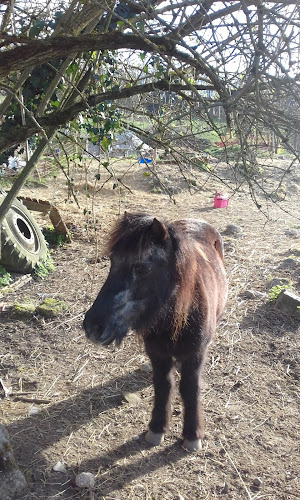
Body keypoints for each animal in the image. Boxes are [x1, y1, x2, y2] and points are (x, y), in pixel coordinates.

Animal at [83, 213, 226, 452]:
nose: (93, 327)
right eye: (112, 262)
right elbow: (163, 386)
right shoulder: (158, 355)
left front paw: (192, 435)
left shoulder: (195, 356)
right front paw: (157, 429)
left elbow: (190, 389)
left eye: (141, 268)